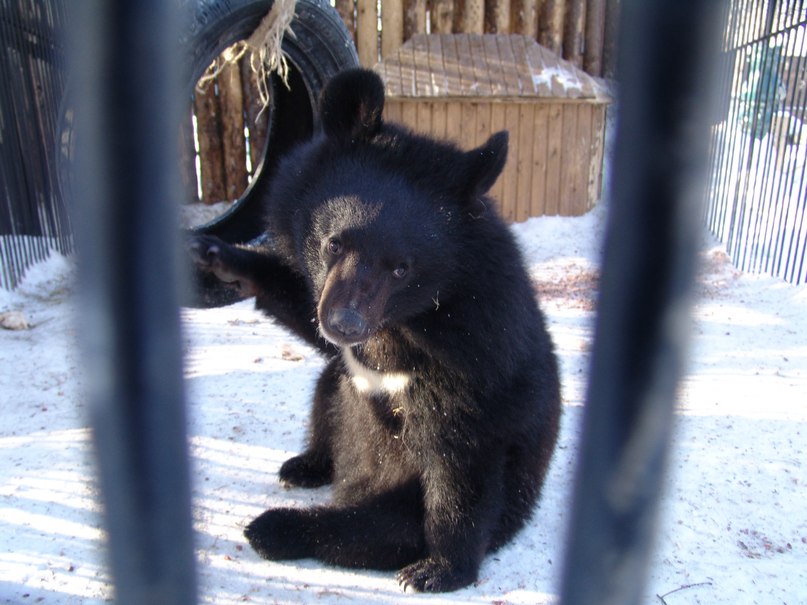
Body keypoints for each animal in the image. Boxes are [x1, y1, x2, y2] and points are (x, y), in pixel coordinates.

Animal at [189, 68, 560, 592]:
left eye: (402, 268)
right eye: (334, 243)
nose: (345, 324)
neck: (405, 324)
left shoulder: (478, 348)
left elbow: (460, 464)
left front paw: (437, 570)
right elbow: (301, 306)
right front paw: (216, 257)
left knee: (374, 529)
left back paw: (275, 527)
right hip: (336, 383)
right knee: (326, 399)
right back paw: (304, 465)